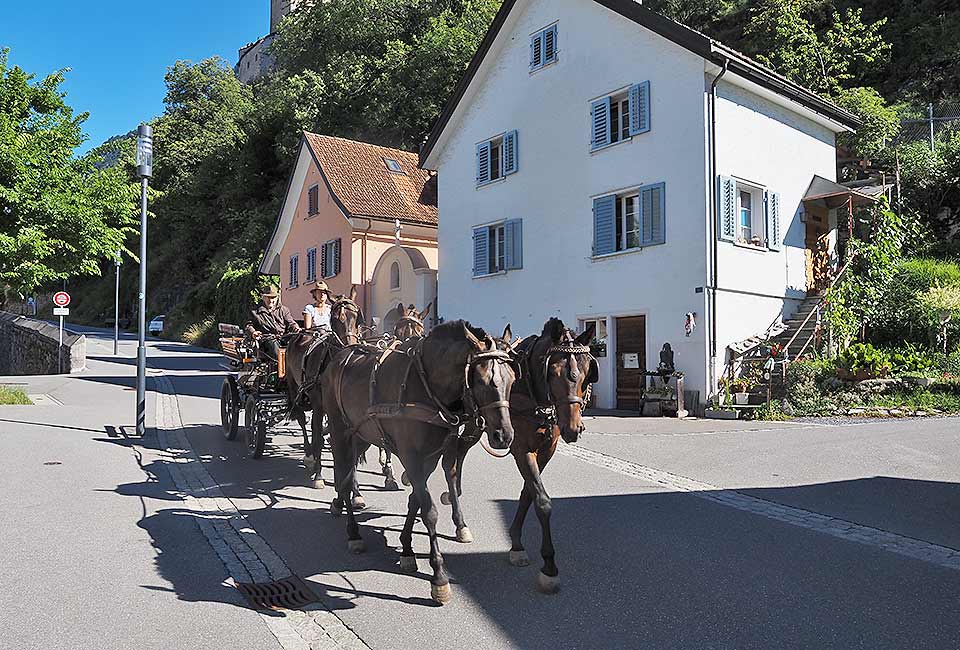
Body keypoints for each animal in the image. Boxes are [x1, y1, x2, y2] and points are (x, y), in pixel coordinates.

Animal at [322, 318, 516, 604]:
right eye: (482, 380)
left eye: (512, 379)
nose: (504, 435)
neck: (426, 387)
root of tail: (340, 356)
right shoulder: (411, 456)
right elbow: (429, 511)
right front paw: (439, 577)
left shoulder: (431, 457)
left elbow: (415, 499)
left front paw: (406, 549)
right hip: (338, 430)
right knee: (344, 478)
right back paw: (353, 531)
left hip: (361, 434)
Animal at [438, 318, 596, 592]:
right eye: (554, 372)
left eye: (586, 372)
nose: (573, 429)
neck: (531, 390)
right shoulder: (522, 449)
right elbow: (542, 500)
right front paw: (548, 566)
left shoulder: (547, 449)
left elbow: (527, 493)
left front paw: (516, 543)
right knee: (450, 462)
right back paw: (458, 519)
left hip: (477, 426)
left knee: (460, 452)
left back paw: (454, 493)